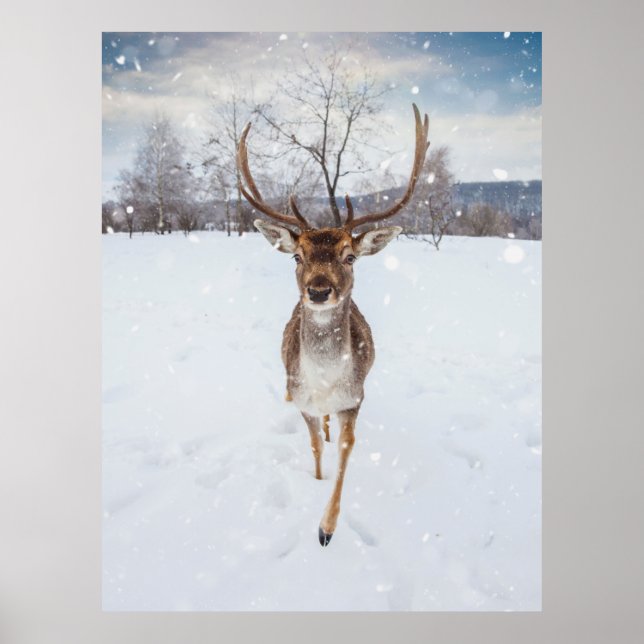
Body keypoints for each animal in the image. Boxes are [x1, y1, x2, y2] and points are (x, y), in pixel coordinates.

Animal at [237, 104, 430, 546]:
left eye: (350, 256)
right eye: (297, 256)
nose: (319, 290)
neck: (324, 383)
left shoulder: (354, 400)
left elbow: (345, 451)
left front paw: (326, 528)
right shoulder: (302, 401)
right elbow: (315, 449)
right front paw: (316, 480)